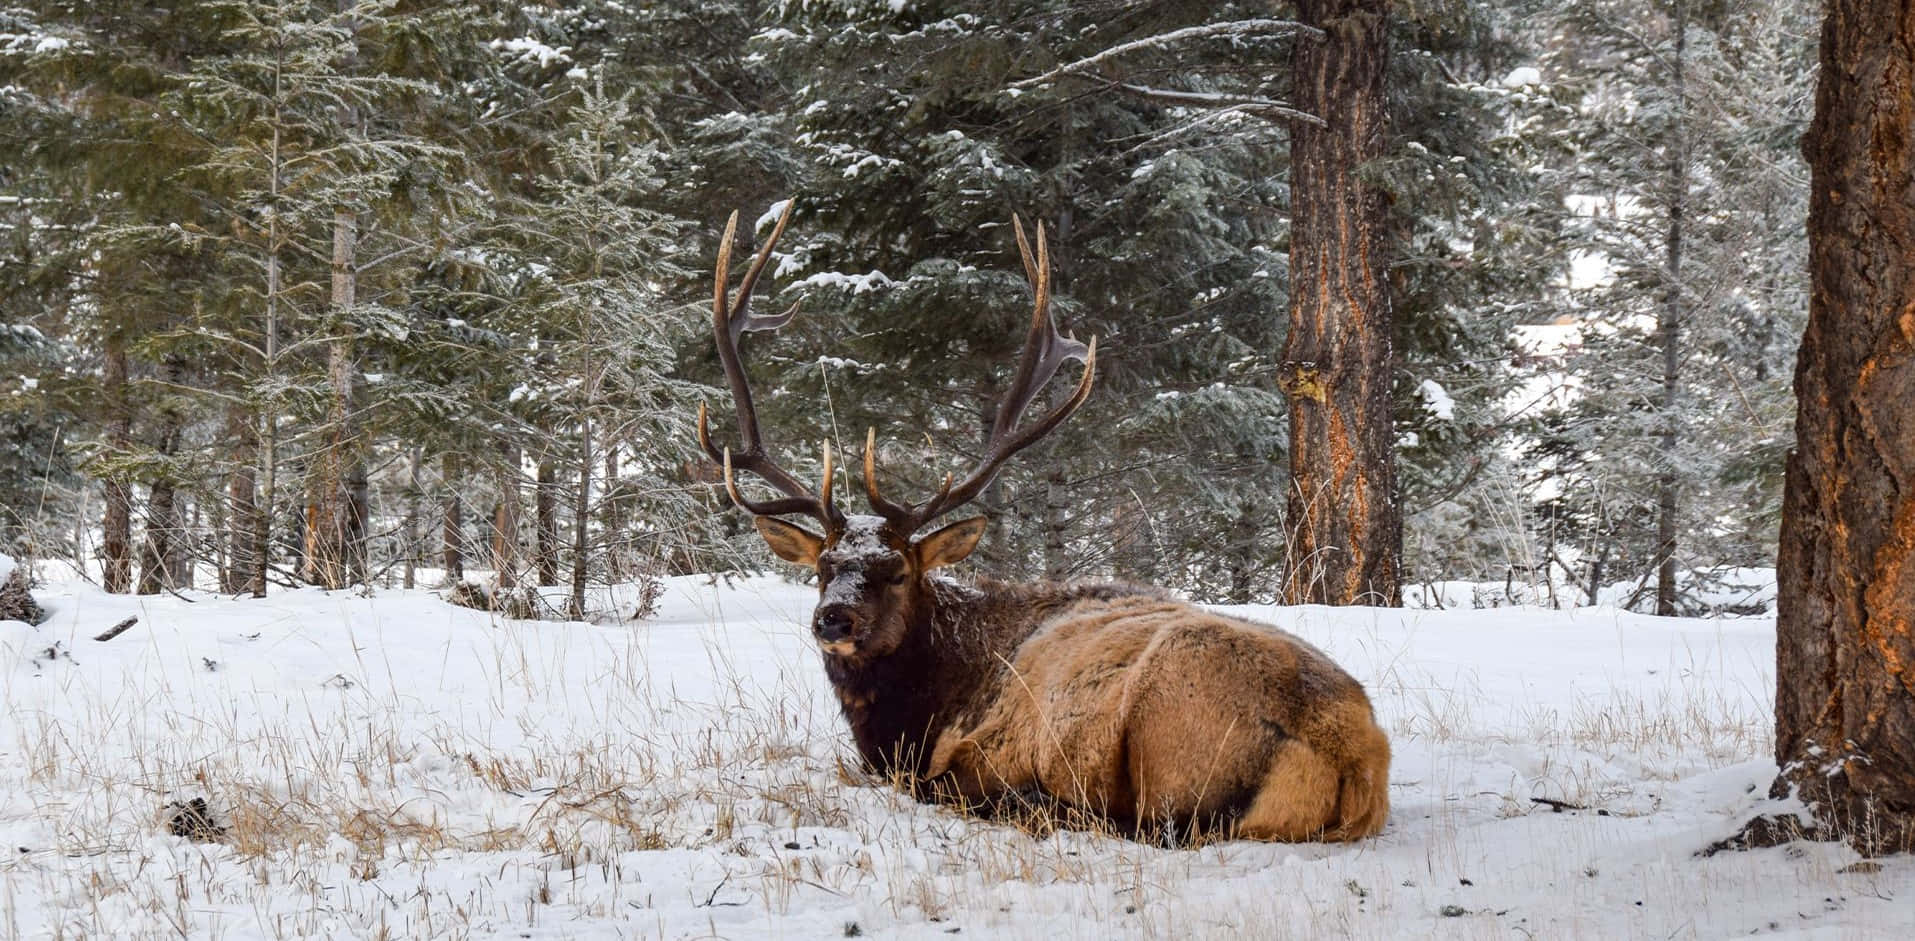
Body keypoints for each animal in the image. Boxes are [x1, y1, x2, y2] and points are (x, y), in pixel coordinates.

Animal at [696, 202, 1390, 842]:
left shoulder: (979, 750)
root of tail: (1353, 762)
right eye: (823, 568)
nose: (832, 619)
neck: (917, 715)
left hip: (1170, 733)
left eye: (896, 571)